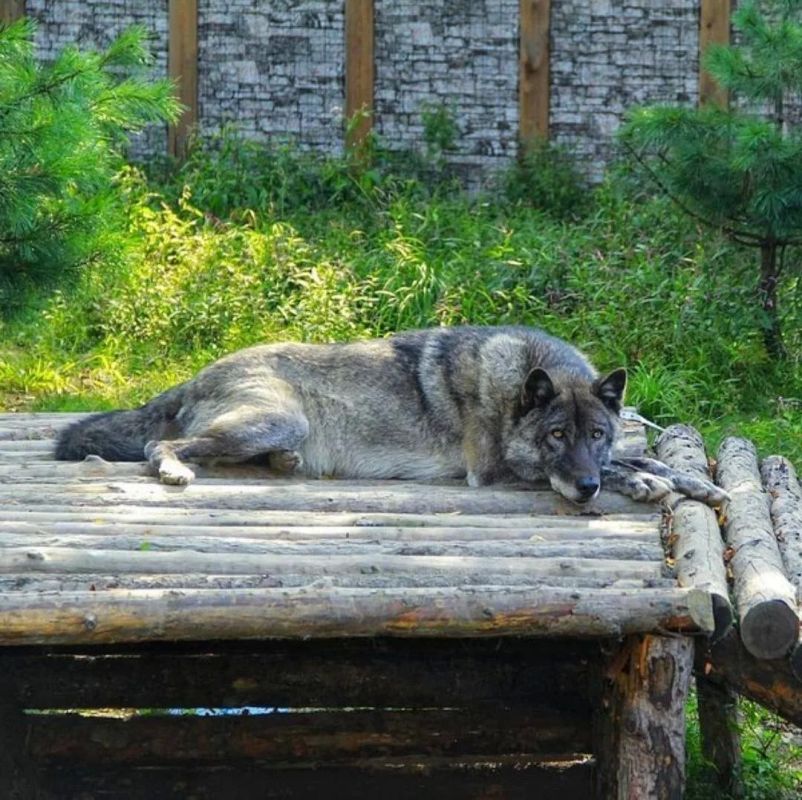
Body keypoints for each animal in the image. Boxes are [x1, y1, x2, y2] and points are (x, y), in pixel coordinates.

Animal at [55, 326, 725, 506]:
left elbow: (641, 456)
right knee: (161, 449)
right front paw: (643, 483)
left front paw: (696, 482)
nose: (584, 489)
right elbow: (627, 468)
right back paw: (175, 471)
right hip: (275, 418)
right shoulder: (494, 472)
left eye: (596, 434)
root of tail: (196, 374)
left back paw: (285, 464)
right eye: (557, 436)